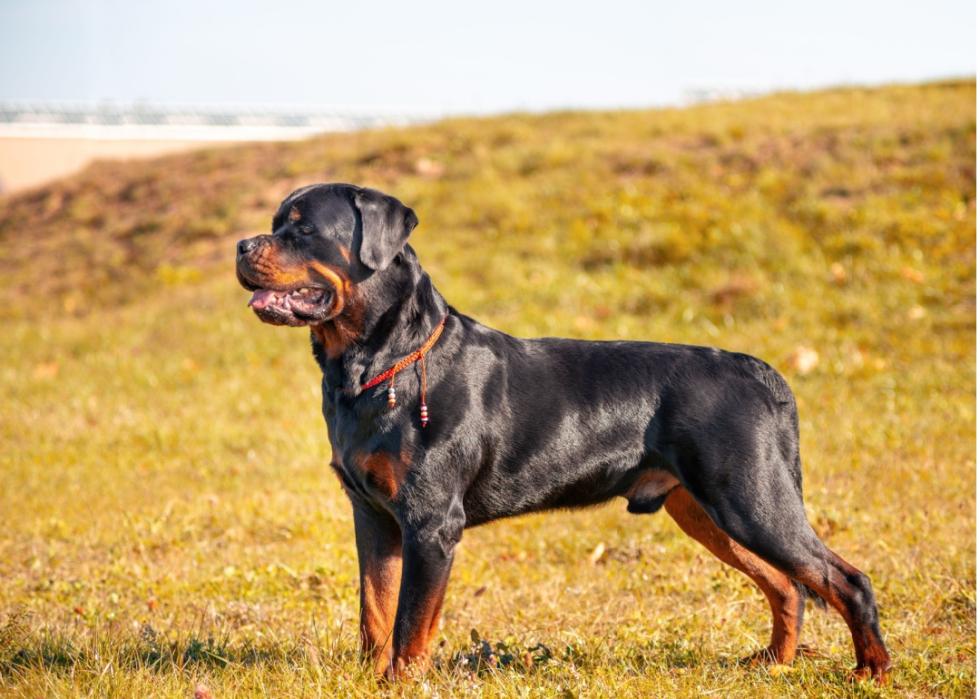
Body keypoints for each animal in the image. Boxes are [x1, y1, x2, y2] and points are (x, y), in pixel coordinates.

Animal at [234, 182, 892, 684]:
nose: (242, 245)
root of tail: (757, 370)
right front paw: (370, 677)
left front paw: (398, 682)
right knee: (788, 586)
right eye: (274, 224)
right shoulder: (372, 514)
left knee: (845, 579)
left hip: (751, 499)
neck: (377, 364)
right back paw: (773, 663)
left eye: (301, 230)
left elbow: (410, 624)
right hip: (704, 509)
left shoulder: (430, 523)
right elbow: (374, 610)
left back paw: (871, 671)